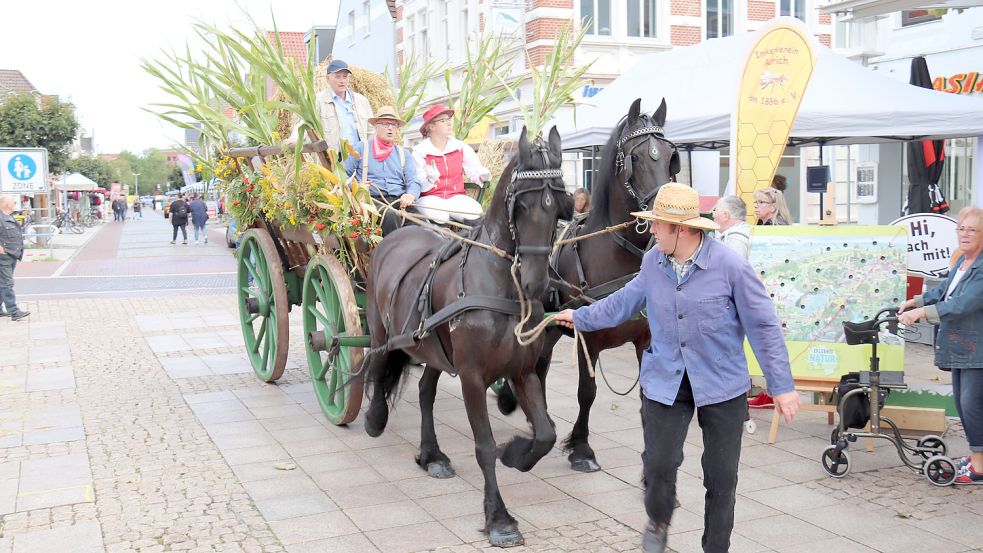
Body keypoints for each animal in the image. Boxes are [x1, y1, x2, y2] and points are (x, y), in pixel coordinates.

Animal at [500, 98, 676, 470]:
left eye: (671, 155)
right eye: (636, 157)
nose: (664, 215)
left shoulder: (646, 340)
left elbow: (646, 394)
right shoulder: (588, 339)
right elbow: (587, 392)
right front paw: (581, 448)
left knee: (541, 364)